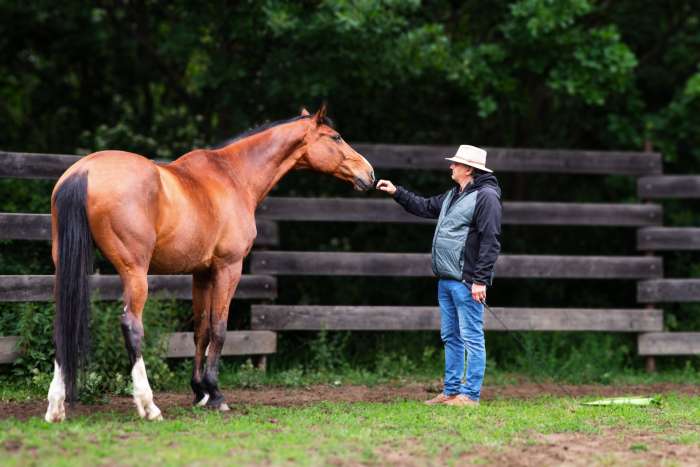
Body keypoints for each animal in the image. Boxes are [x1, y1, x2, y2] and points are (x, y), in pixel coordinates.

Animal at [45, 107, 374, 424]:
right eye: (335, 137)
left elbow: (201, 330)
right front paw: (215, 394)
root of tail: (83, 172)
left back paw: (56, 407)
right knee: (132, 326)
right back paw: (148, 406)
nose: (369, 174)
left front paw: (199, 392)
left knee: (62, 322)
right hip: (135, 273)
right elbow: (219, 328)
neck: (233, 176)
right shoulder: (228, 268)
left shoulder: (201, 273)